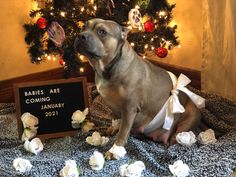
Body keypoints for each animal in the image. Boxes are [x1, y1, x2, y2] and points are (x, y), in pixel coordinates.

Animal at [74, 18, 204, 160]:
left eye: (102, 32)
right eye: (84, 27)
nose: (81, 35)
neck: (108, 68)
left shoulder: (129, 108)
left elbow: (123, 132)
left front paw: (115, 150)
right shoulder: (113, 105)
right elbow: (116, 121)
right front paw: (113, 128)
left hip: (189, 116)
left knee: (176, 138)